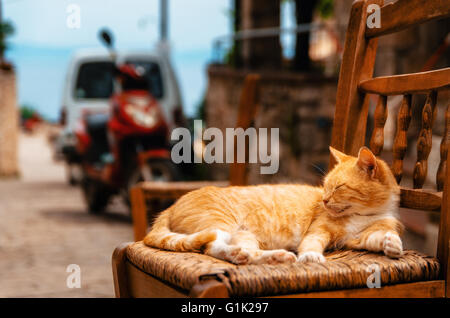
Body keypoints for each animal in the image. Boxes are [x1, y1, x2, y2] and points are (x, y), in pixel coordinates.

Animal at [144, 145, 404, 264]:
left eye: (338, 187)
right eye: (326, 186)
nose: (324, 200)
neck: (364, 214)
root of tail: (171, 206)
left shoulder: (357, 239)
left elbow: (378, 237)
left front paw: (392, 244)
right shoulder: (318, 231)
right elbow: (311, 244)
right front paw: (311, 256)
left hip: (244, 235)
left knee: (247, 252)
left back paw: (274, 257)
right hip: (221, 223)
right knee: (211, 246)